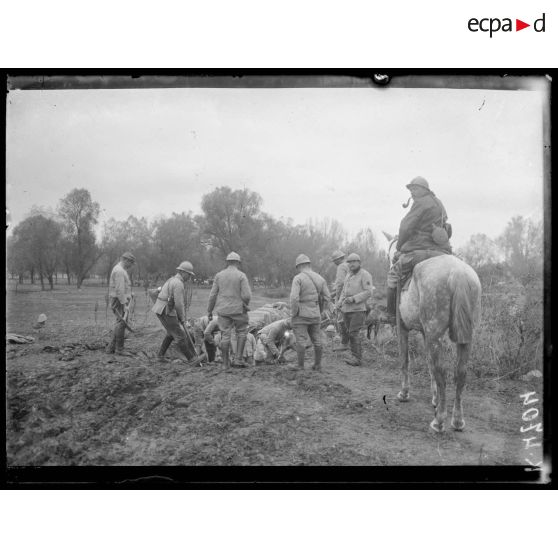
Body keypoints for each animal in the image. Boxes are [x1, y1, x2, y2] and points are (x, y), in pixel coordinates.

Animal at [388, 232, 484, 434]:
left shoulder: (403, 329)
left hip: (435, 334)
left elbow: (405, 360)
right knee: (460, 373)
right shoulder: (426, 335)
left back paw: (439, 421)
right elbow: (429, 364)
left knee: (442, 371)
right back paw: (457, 420)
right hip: (463, 339)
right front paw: (435, 398)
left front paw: (404, 393)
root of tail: (458, 273)